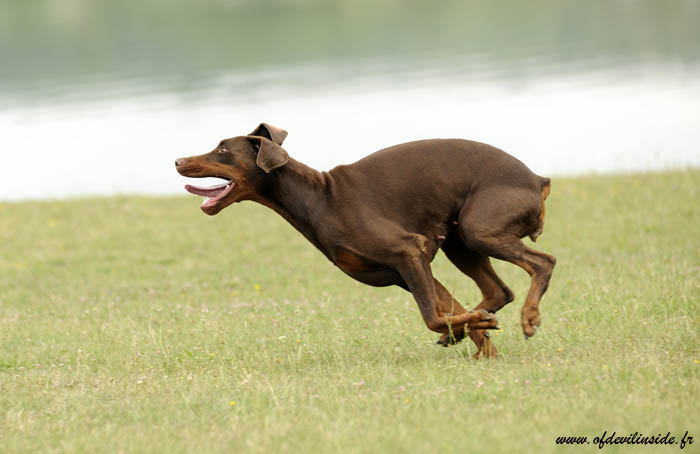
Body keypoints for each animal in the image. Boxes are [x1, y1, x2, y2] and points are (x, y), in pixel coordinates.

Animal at [175, 123, 555, 358]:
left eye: (222, 150)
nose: (178, 160)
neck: (319, 198)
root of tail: (539, 180)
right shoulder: (405, 271)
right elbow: (448, 310)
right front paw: (478, 339)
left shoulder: (408, 251)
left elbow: (432, 316)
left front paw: (472, 332)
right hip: (459, 240)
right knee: (497, 292)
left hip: (479, 230)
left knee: (543, 263)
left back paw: (529, 317)